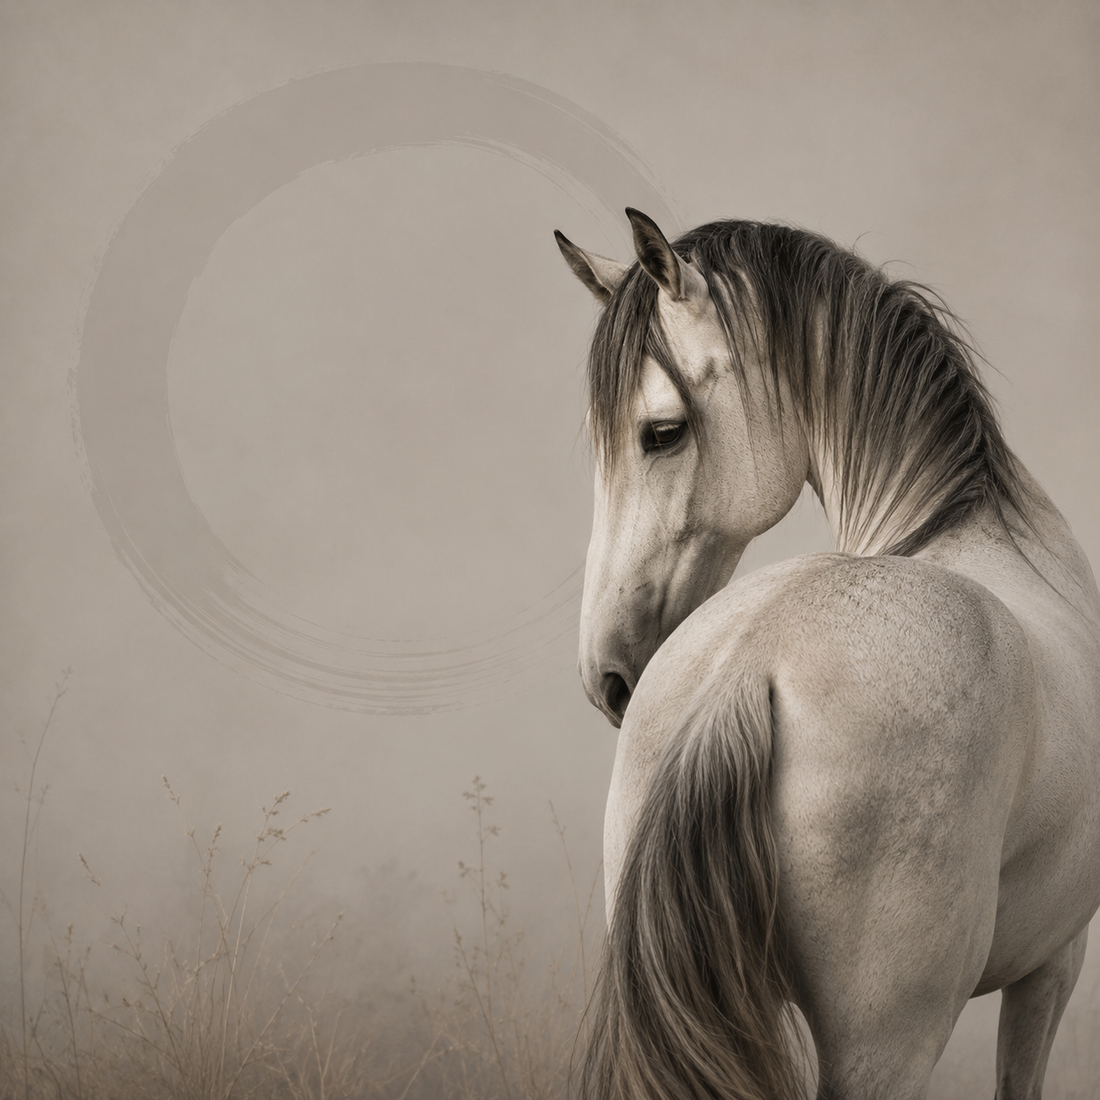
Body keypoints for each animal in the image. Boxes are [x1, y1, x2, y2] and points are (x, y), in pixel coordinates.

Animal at [554, 210, 1100, 1100]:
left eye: (660, 434)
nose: (606, 672)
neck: (970, 519)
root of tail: (749, 664)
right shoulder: (1054, 962)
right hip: (889, 1046)